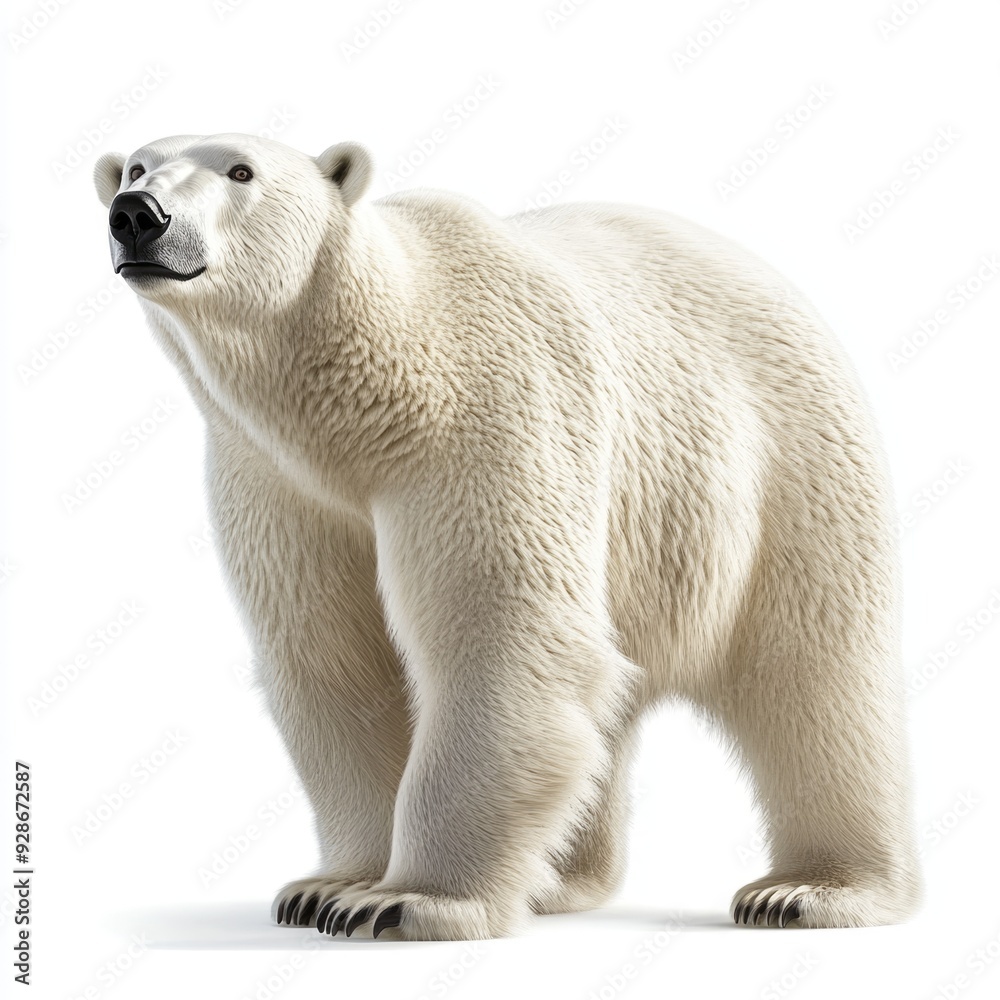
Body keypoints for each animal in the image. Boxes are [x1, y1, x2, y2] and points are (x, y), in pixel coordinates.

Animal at [93, 133, 921, 940]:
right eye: (135, 166)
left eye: (241, 171)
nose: (138, 215)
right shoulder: (277, 483)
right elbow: (336, 661)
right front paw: (330, 888)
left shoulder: (489, 417)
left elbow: (500, 638)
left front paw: (406, 903)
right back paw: (555, 879)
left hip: (783, 463)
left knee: (814, 674)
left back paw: (810, 890)